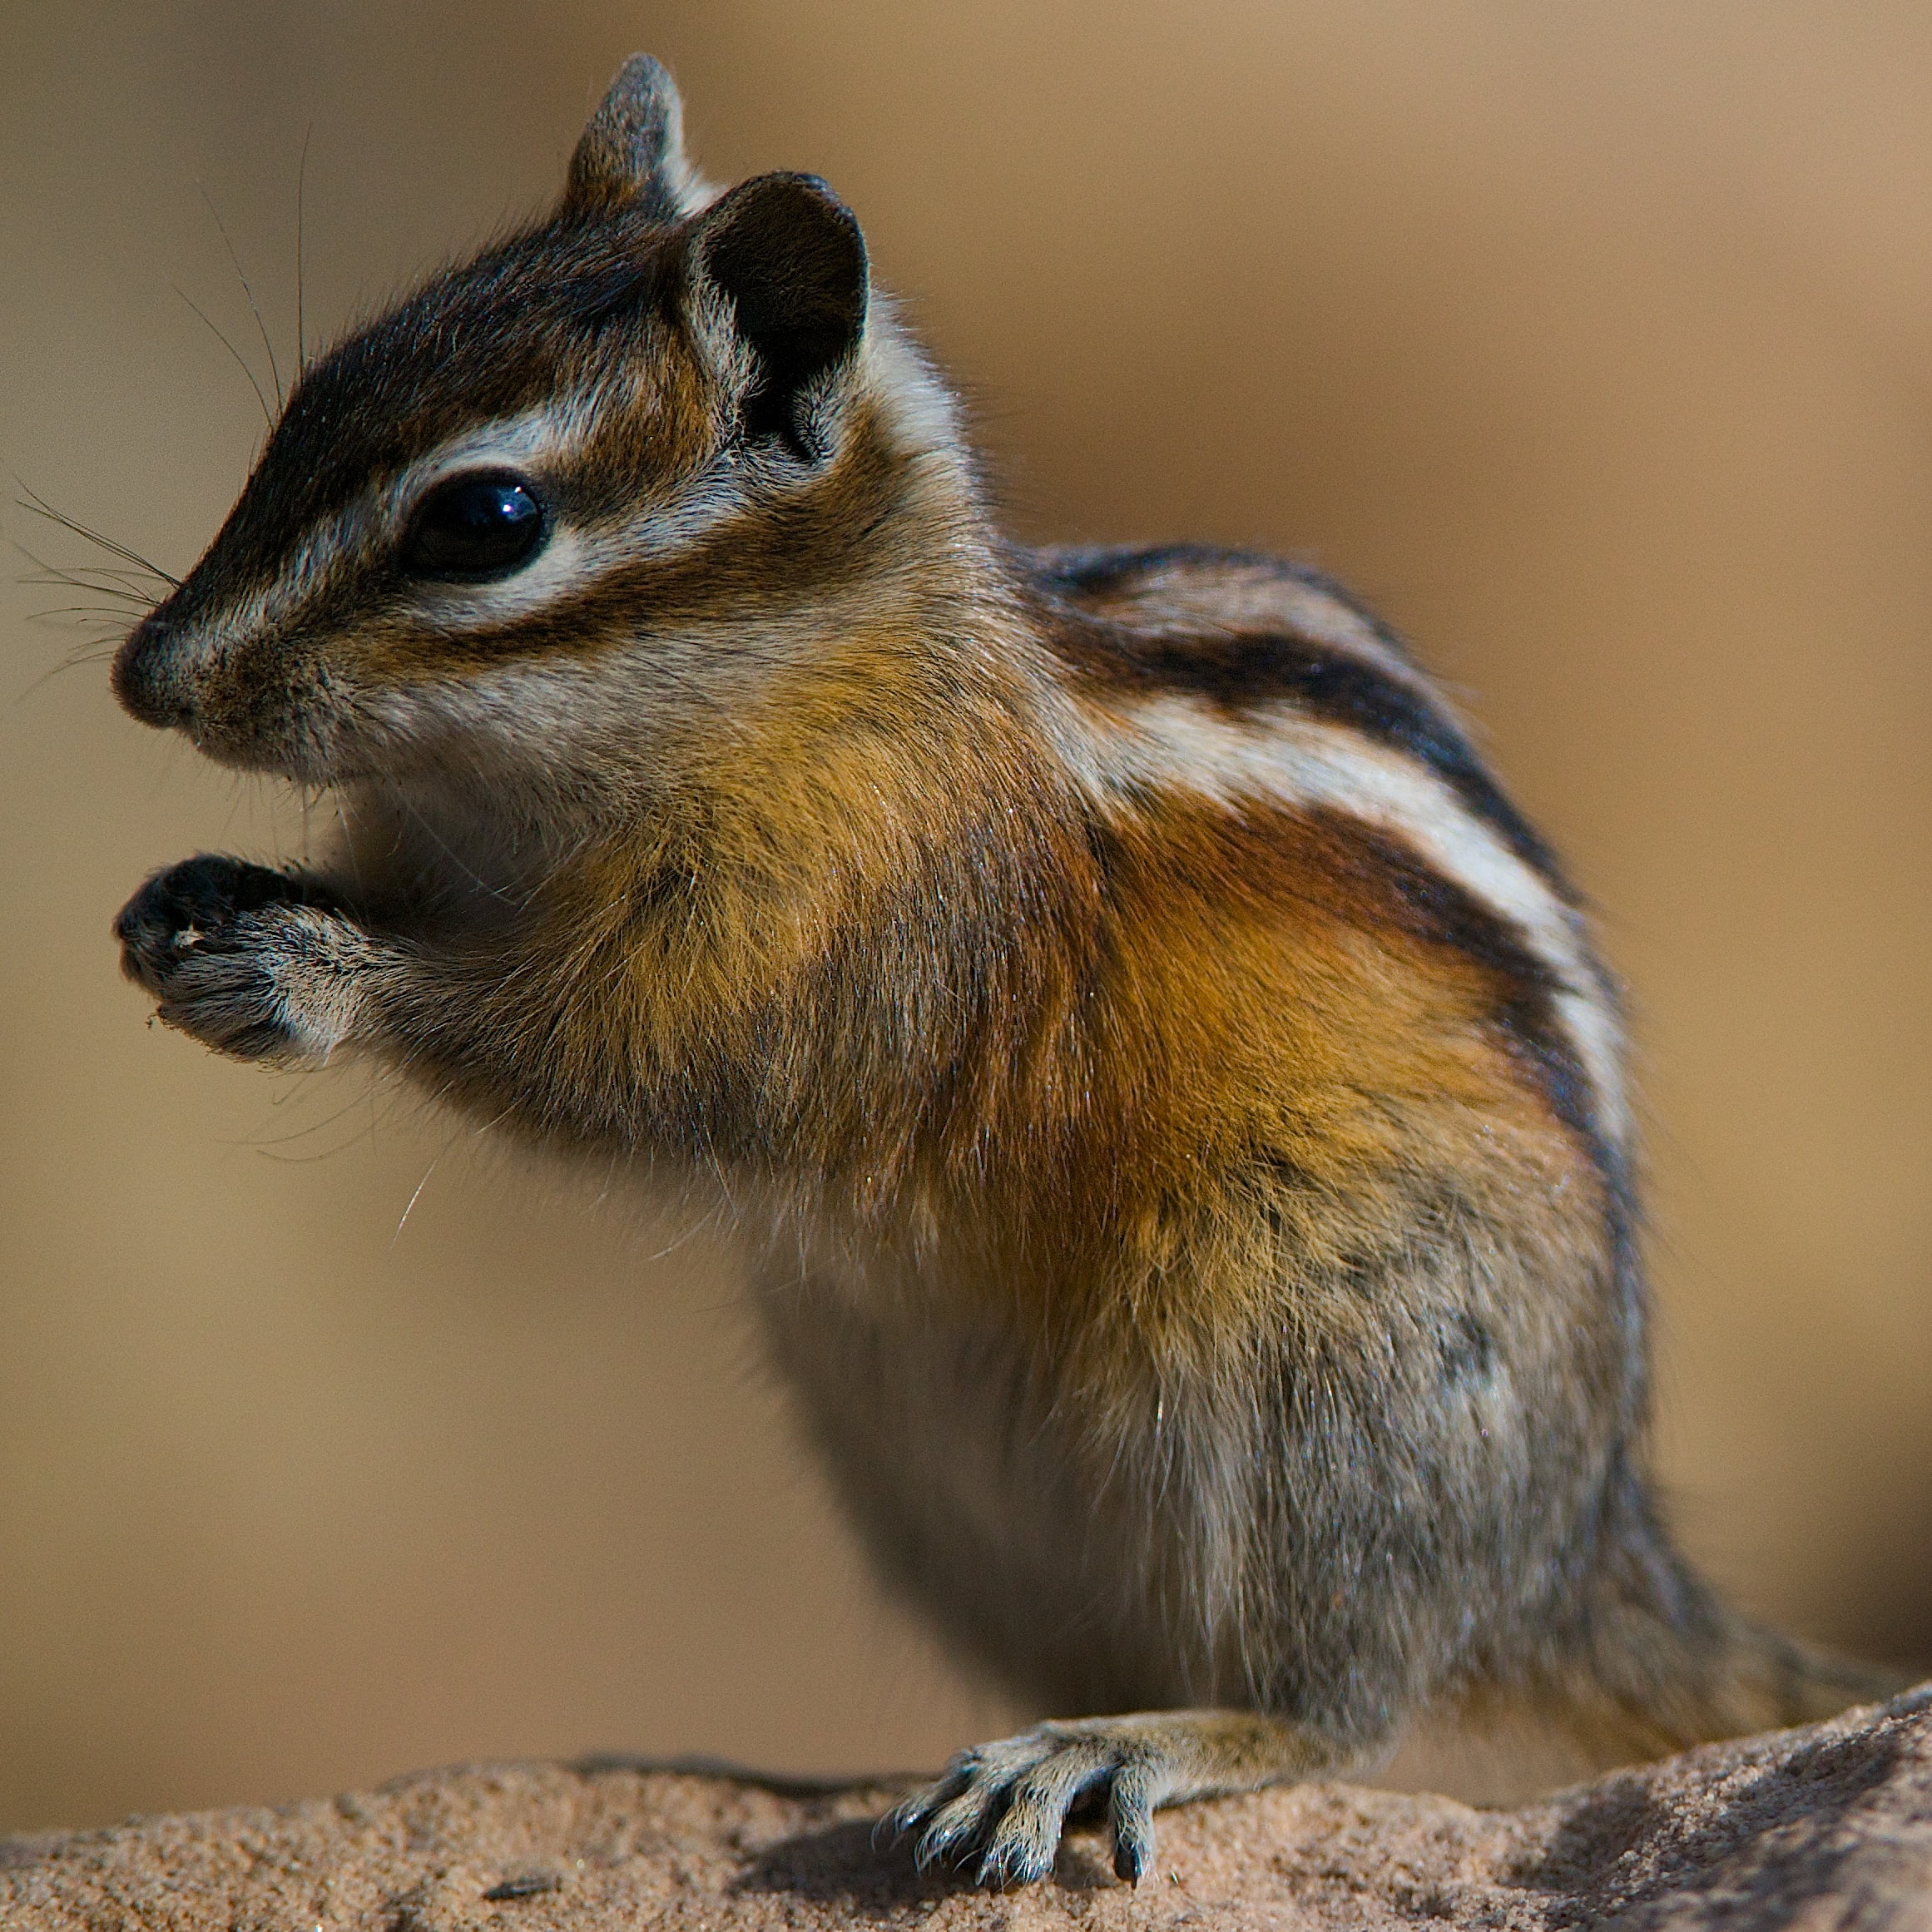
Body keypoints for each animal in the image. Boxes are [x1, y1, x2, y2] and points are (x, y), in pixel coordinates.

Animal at [109, 55, 1902, 1889]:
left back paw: (1120, 1747)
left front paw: (315, 976)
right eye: (317, 391)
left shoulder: (857, 937)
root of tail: (1573, 1549)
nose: (147, 677)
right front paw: (193, 905)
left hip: (1322, 1374)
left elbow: (627, 1061)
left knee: (1342, 1711)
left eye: (484, 520)